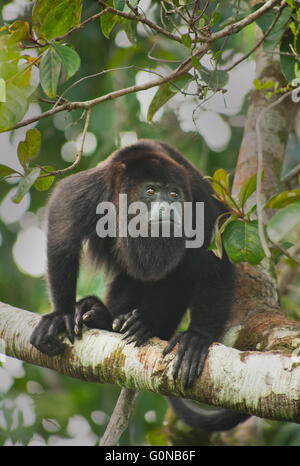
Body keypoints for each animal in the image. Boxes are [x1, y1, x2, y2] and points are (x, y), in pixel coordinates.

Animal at [30, 140, 250, 432]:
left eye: (174, 194)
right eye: (151, 191)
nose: (169, 207)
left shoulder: (200, 202)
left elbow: (217, 261)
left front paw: (197, 337)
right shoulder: (92, 191)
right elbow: (62, 227)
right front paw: (60, 314)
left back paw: (144, 324)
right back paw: (100, 315)